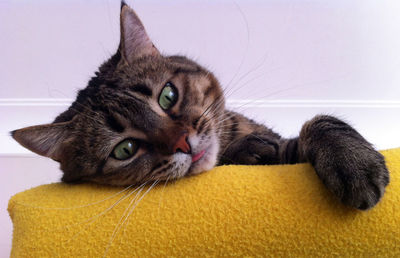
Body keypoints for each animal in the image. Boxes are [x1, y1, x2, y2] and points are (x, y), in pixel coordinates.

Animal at [10, 3, 390, 211]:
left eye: (167, 96)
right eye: (125, 149)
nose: (183, 142)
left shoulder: (285, 144)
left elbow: (319, 122)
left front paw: (354, 163)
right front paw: (248, 151)